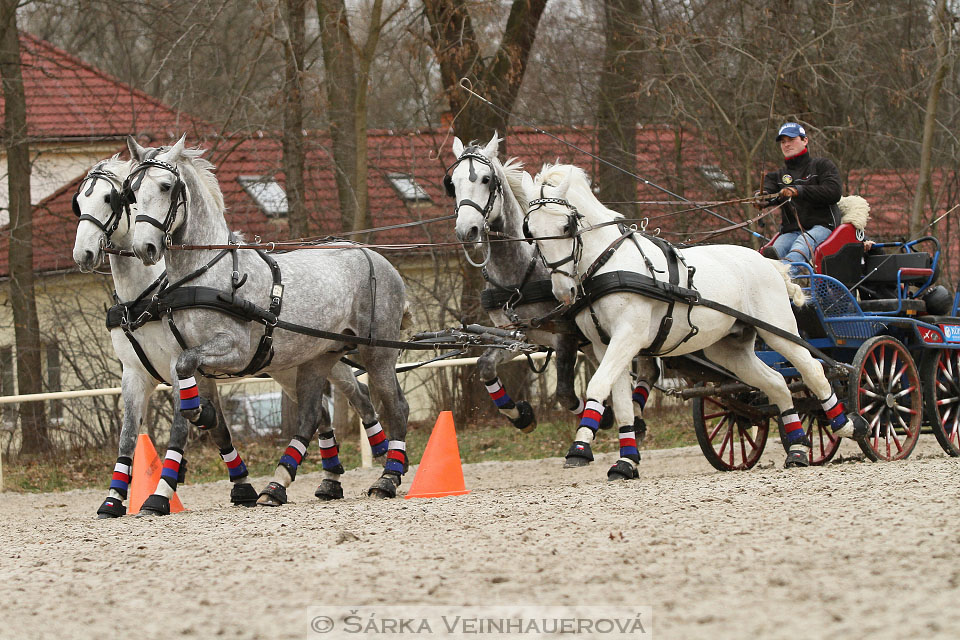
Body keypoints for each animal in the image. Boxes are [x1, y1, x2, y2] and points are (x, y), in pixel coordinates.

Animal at [520, 165, 868, 480]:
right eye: (531, 232)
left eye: (566, 225)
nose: (562, 292)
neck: (609, 262)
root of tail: (767, 261)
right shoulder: (603, 344)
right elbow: (620, 403)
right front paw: (626, 462)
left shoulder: (628, 337)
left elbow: (598, 385)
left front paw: (579, 448)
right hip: (729, 349)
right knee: (778, 383)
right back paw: (797, 447)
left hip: (778, 330)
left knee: (813, 371)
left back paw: (849, 424)